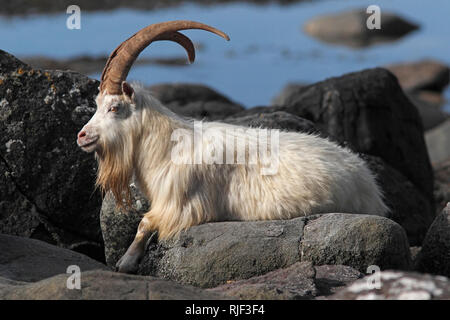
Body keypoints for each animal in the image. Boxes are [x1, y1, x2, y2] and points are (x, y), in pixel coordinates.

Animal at [76, 21, 386, 274]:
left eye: (114, 107)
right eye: (96, 105)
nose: (82, 136)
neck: (167, 146)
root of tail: (370, 185)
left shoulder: (184, 205)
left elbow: (146, 222)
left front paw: (125, 262)